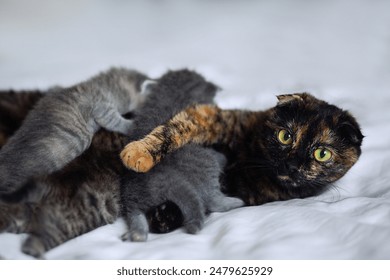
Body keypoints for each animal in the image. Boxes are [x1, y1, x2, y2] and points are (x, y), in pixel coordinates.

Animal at [120, 70, 242, 243]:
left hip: (132, 199)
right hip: (206, 164)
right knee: (212, 200)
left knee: (136, 220)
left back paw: (134, 234)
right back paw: (234, 201)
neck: (173, 93)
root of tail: (161, 182)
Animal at [121, 93, 362, 205]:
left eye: (322, 154)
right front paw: (139, 153)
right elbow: (174, 129)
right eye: (285, 136)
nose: (292, 165)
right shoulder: (211, 118)